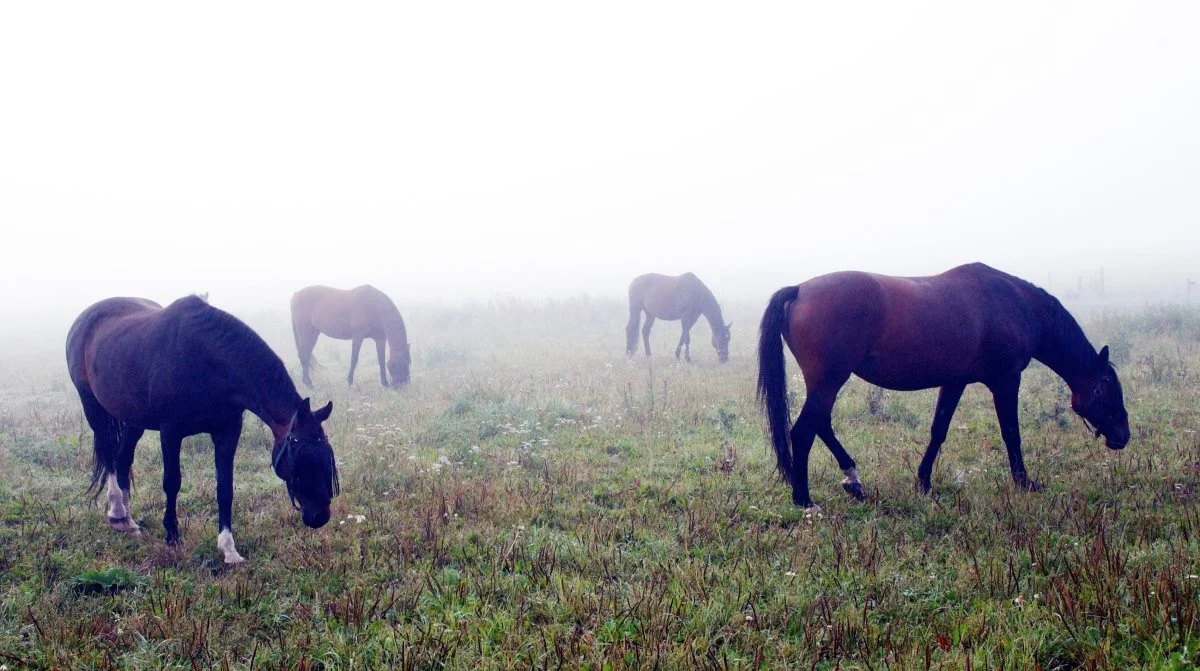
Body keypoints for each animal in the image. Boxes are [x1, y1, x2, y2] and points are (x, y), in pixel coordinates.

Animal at [65, 296, 340, 564]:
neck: (208, 362)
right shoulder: (170, 432)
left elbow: (225, 489)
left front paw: (229, 549)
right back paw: (116, 513)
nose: (320, 515)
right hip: (93, 407)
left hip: (134, 419)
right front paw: (172, 537)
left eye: (327, 456)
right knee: (108, 454)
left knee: (123, 459)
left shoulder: (227, 431)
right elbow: (172, 482)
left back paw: (128, 522)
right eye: (300, 458)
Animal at [753, 262, 1128, 508]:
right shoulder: (1006, 380)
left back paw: (853, 479)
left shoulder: (954, 382)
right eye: (1104, 388)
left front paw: (924, 482)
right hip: (829, 381)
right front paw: (1025, 482)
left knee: (821, 425)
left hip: (826, 382)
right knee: (803, 431)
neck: (1014, 304)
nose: (1123, 436)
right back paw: (805, 500)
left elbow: (939, 430)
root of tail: (799, 290)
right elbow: (1011, 433)